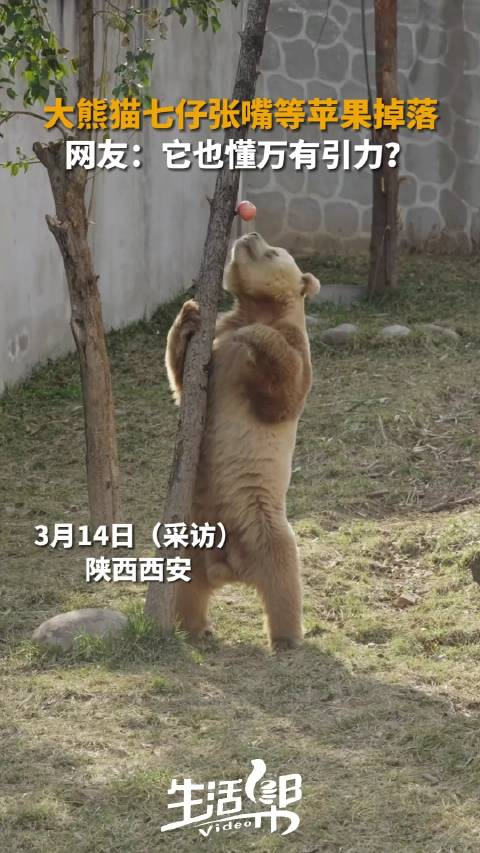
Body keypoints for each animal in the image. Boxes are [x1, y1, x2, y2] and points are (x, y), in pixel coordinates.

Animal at [165, 231, 320, 650]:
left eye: (273, 251)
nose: (249, 234)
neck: (257, 308)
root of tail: (229, 566)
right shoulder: (215, 341)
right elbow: (182, 377)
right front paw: (188, 314)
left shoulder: (296, 346)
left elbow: (283, 395)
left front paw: (255, 336)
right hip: (192, 540)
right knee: (186, 586)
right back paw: (194, 627)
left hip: (261, 521)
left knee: (283, 576)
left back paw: (286, 637)